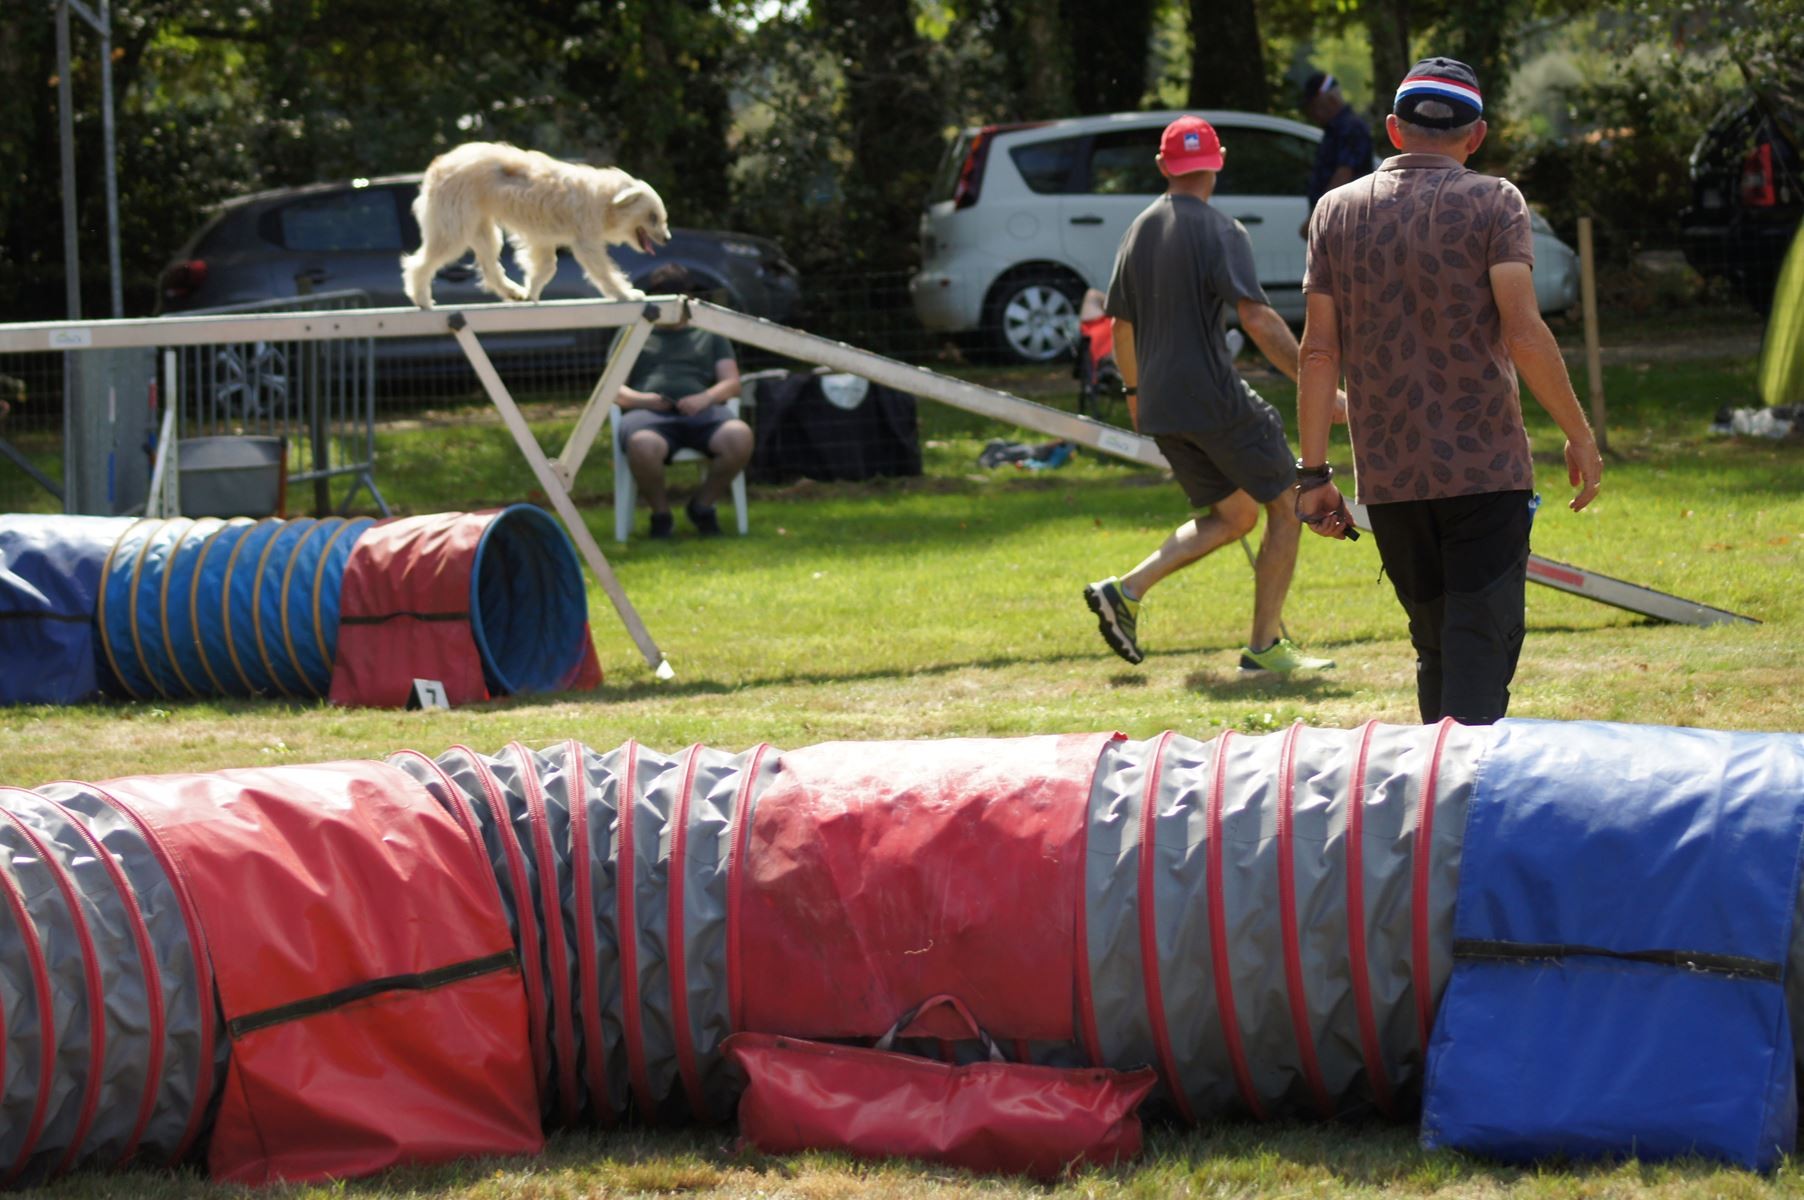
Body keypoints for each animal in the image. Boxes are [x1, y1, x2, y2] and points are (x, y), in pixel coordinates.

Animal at [400, 140, 671, 310]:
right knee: (419, 263)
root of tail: (437, 166)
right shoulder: (586, 240)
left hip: (482, 228)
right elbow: (603, 271)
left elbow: (546, 266)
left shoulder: (542, 239)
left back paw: (513, 292)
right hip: (454, 228)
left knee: (489, 267)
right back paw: (422, 299)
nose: (668, 239)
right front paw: (626, 294)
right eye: (652, 217)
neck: (605, 199)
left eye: (662, 218)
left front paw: (532, 291)